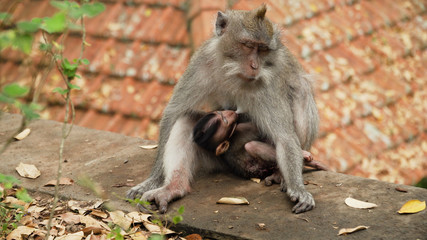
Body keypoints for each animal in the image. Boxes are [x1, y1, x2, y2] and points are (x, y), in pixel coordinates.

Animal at [194, 109, 332, 185]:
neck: (230, 137)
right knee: (252, 146)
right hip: (262, 166)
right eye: (225, 121)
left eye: (220, 113)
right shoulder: (242, 129)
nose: (231, 112)